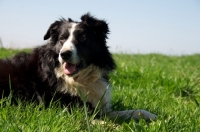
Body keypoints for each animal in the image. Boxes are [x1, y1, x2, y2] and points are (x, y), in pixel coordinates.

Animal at [0, 13, 156, 121]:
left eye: (83, 38)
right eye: (62, 39)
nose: (64, 54)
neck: (79, 78)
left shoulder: (99, 106)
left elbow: (131, 112)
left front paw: (152, 116)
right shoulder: (67, 109)